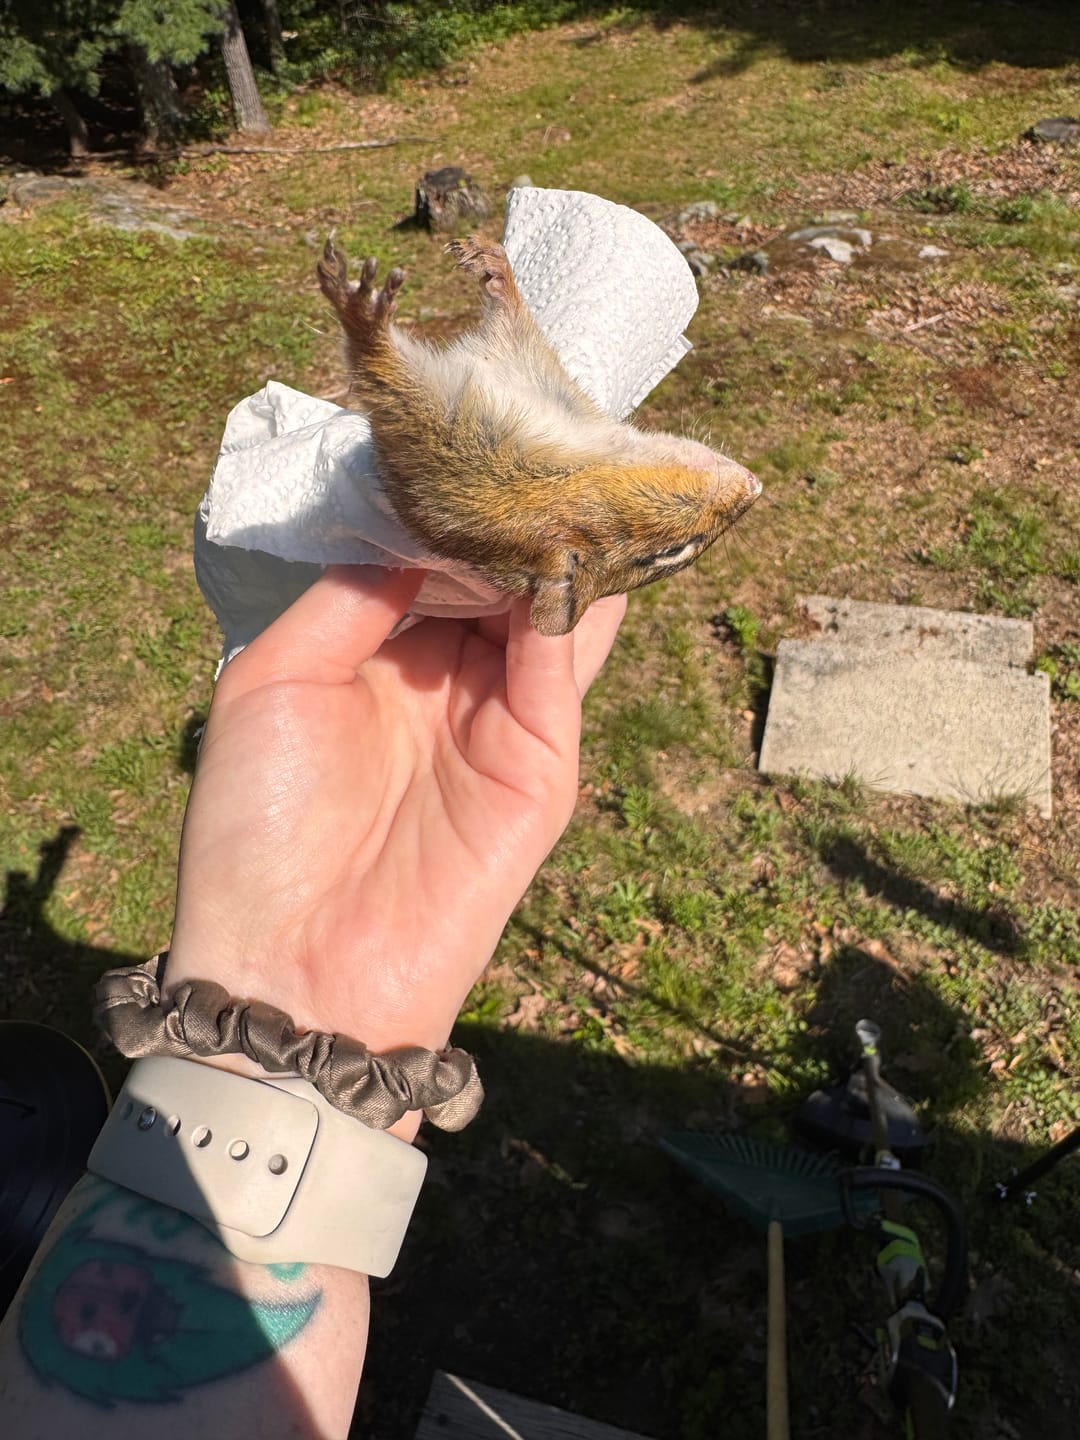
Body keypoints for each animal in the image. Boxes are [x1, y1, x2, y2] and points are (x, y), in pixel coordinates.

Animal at [317, 235, 760, 636]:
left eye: (673, 552)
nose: (755, 489)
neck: (581, 458)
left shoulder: (446, 442)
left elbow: (380, 372)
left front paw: (362, 320)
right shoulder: (525, 370)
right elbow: (512, 320)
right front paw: (493, 264)